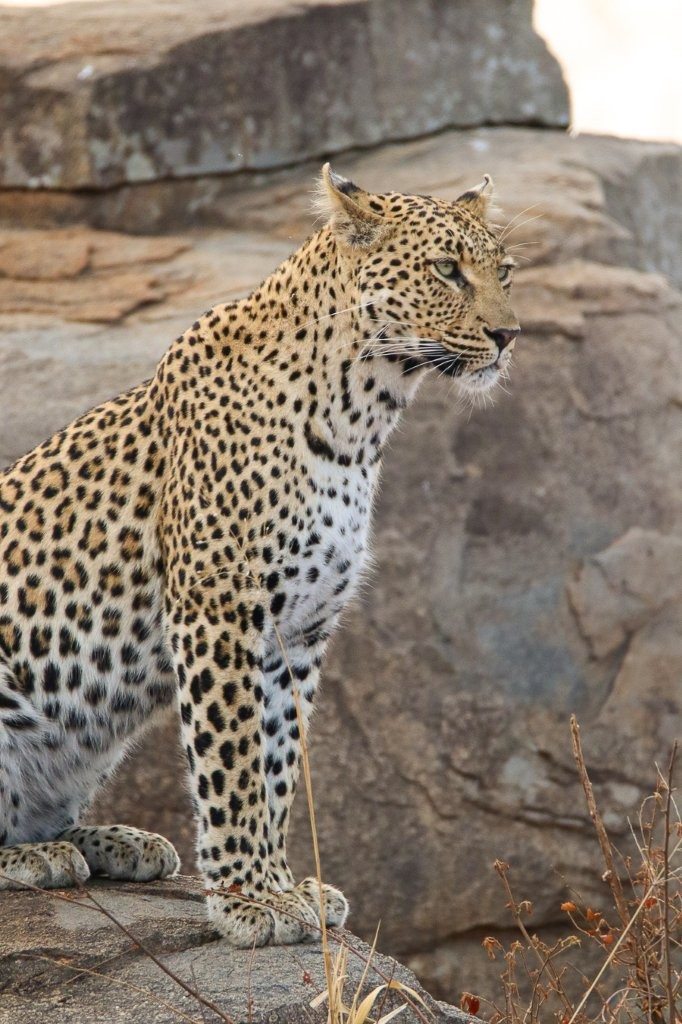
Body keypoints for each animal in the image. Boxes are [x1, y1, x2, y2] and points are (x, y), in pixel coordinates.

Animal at [0, 165, 519, 947]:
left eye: (504, 272)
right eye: (446, 270)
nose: (509, 334)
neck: (360, 417)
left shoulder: (299, 630)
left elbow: (278, 763)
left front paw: (282, 884)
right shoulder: (218, 609)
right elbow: (234, 755)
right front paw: (247, 898)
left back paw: (117, 843)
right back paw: (37, 857)